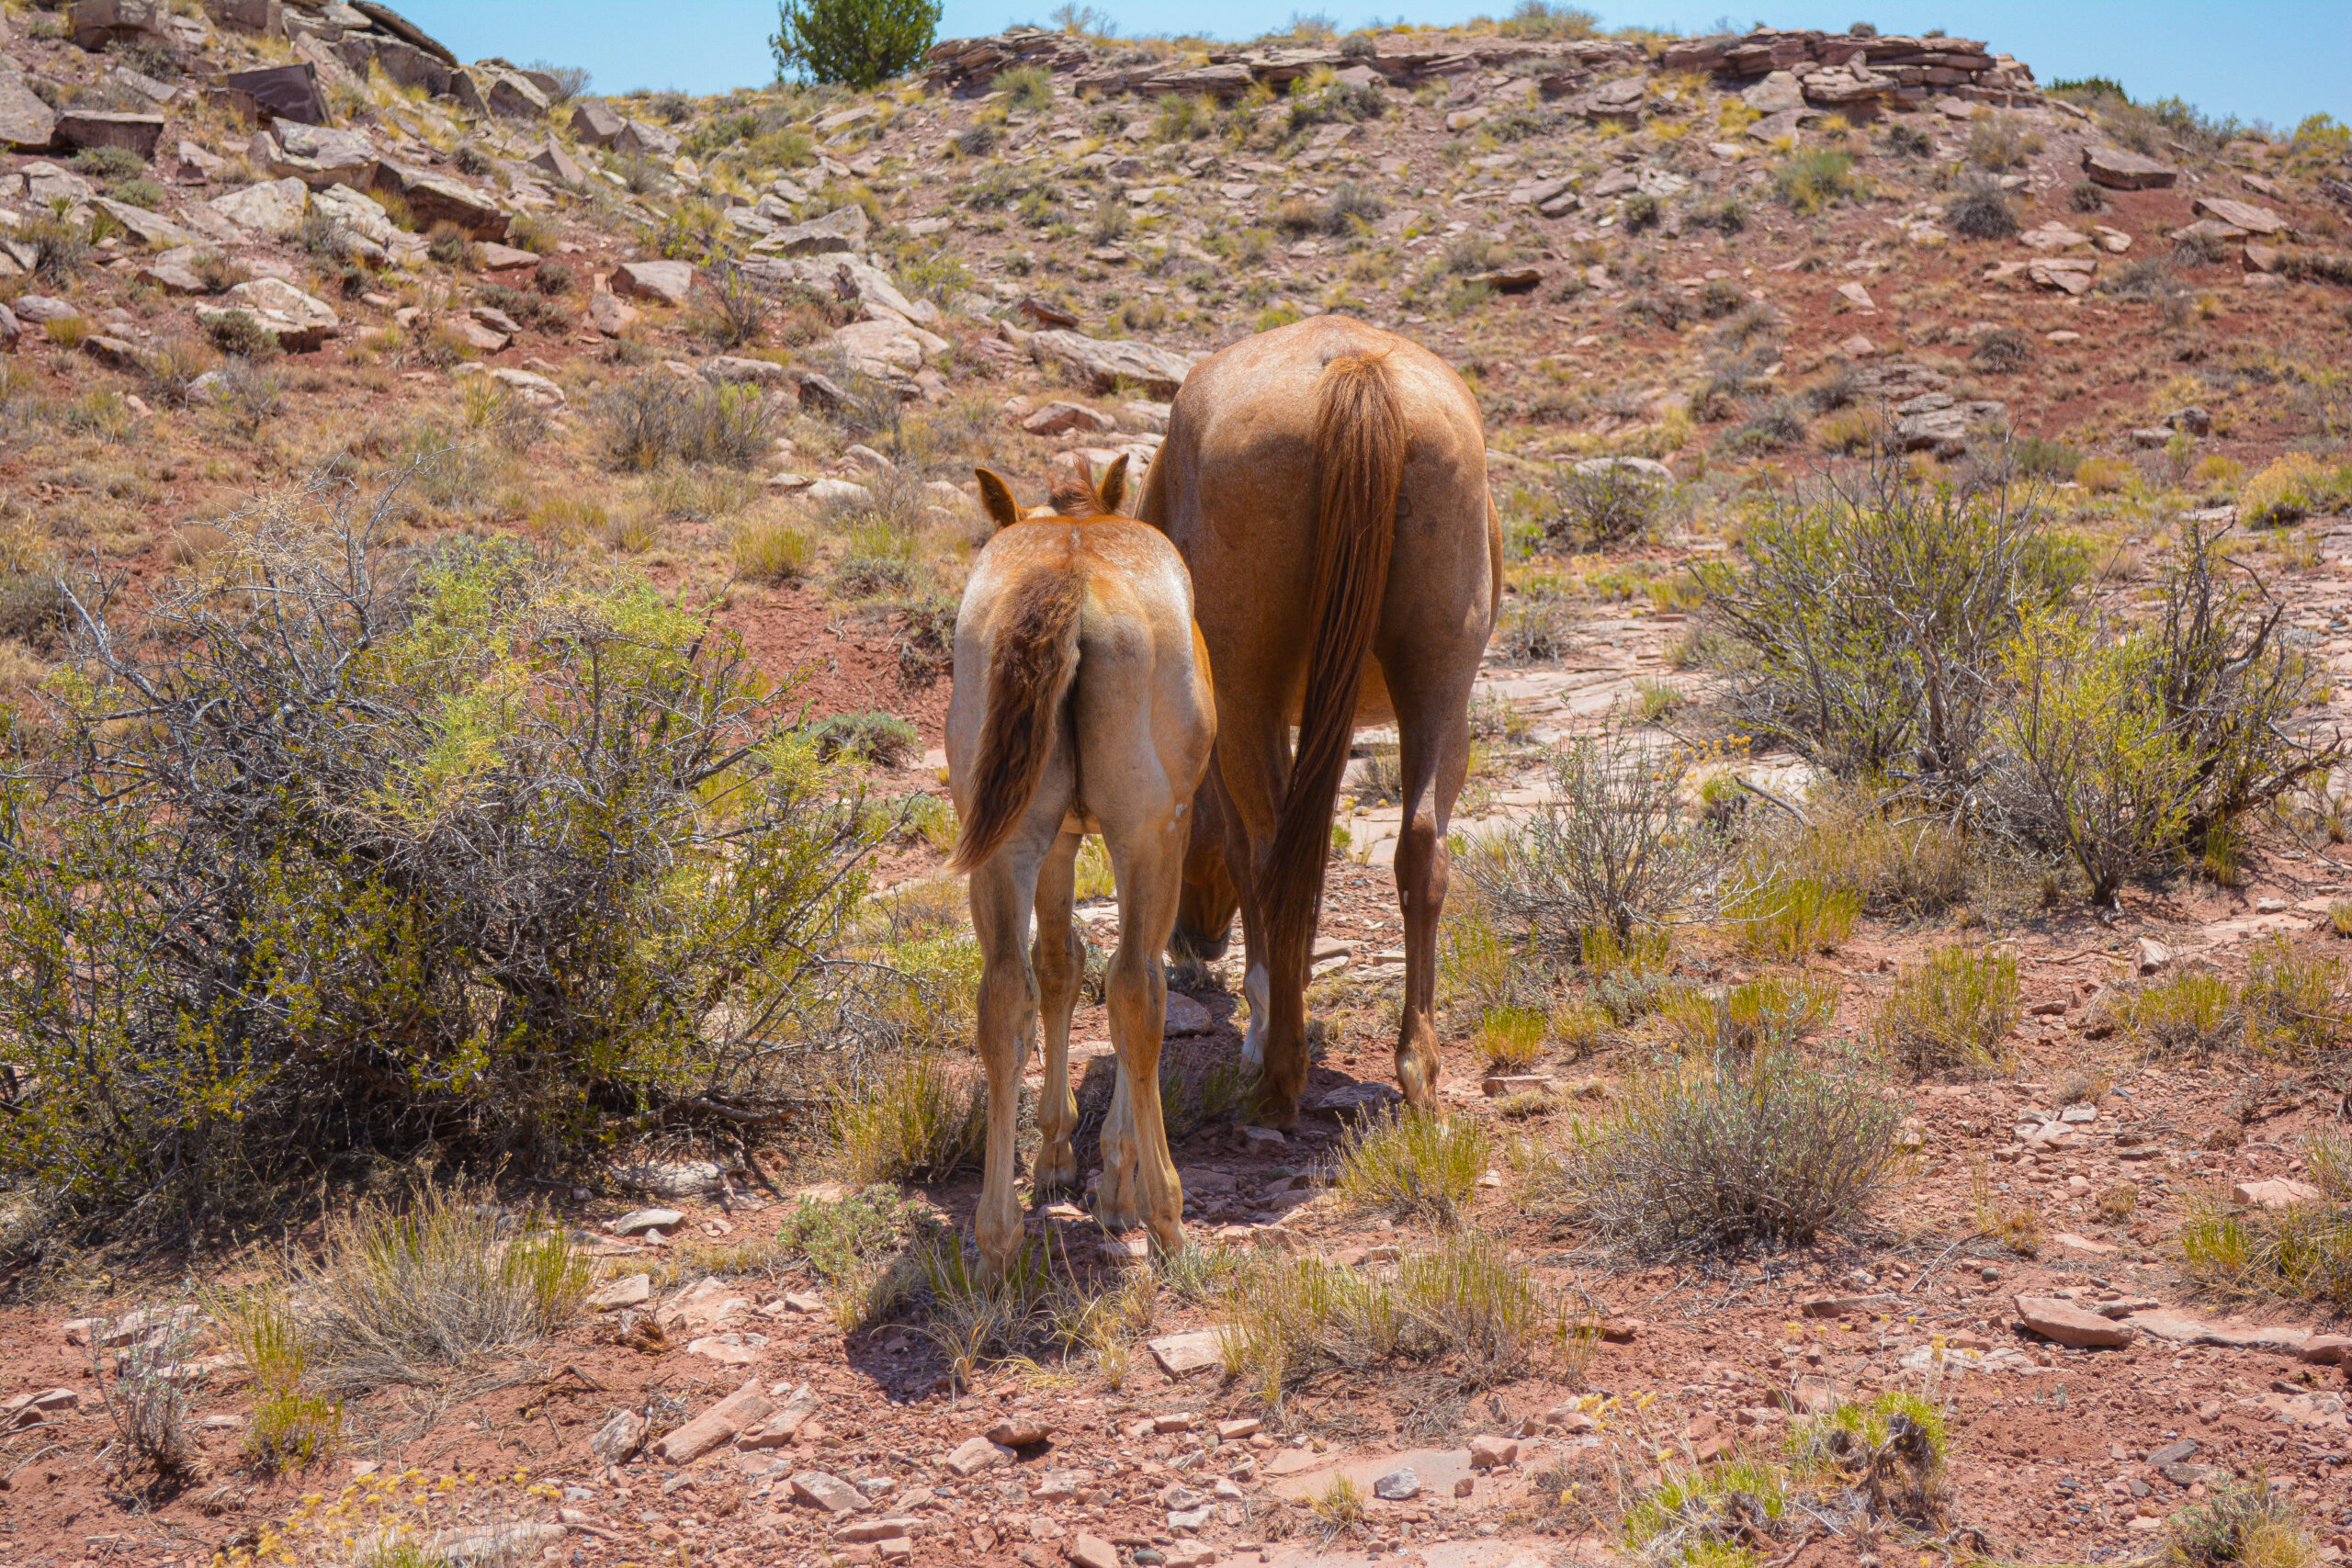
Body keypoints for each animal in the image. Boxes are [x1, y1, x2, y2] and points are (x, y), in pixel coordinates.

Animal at [945, 455, 1217, 1282]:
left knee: (1004, 995)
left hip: (1005, 847)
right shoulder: (1161, 835)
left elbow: (1059, 966)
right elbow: (1127, 984)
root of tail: (1069, 572)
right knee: (1136, 989)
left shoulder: (1060, 841)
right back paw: (1166, 1215)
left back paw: (996, 1236)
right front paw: (1116, 1181)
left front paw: (1057, 1156)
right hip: (1144, 837)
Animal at [1136, 317, 1499, 1129]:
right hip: (1440, 680)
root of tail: (1355, 373)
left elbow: (1256, 853)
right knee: (1421, 847)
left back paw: (1278, 1074)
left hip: (1250, 693)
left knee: (1273, 853)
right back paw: (1417, 1068)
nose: (1195, 940)